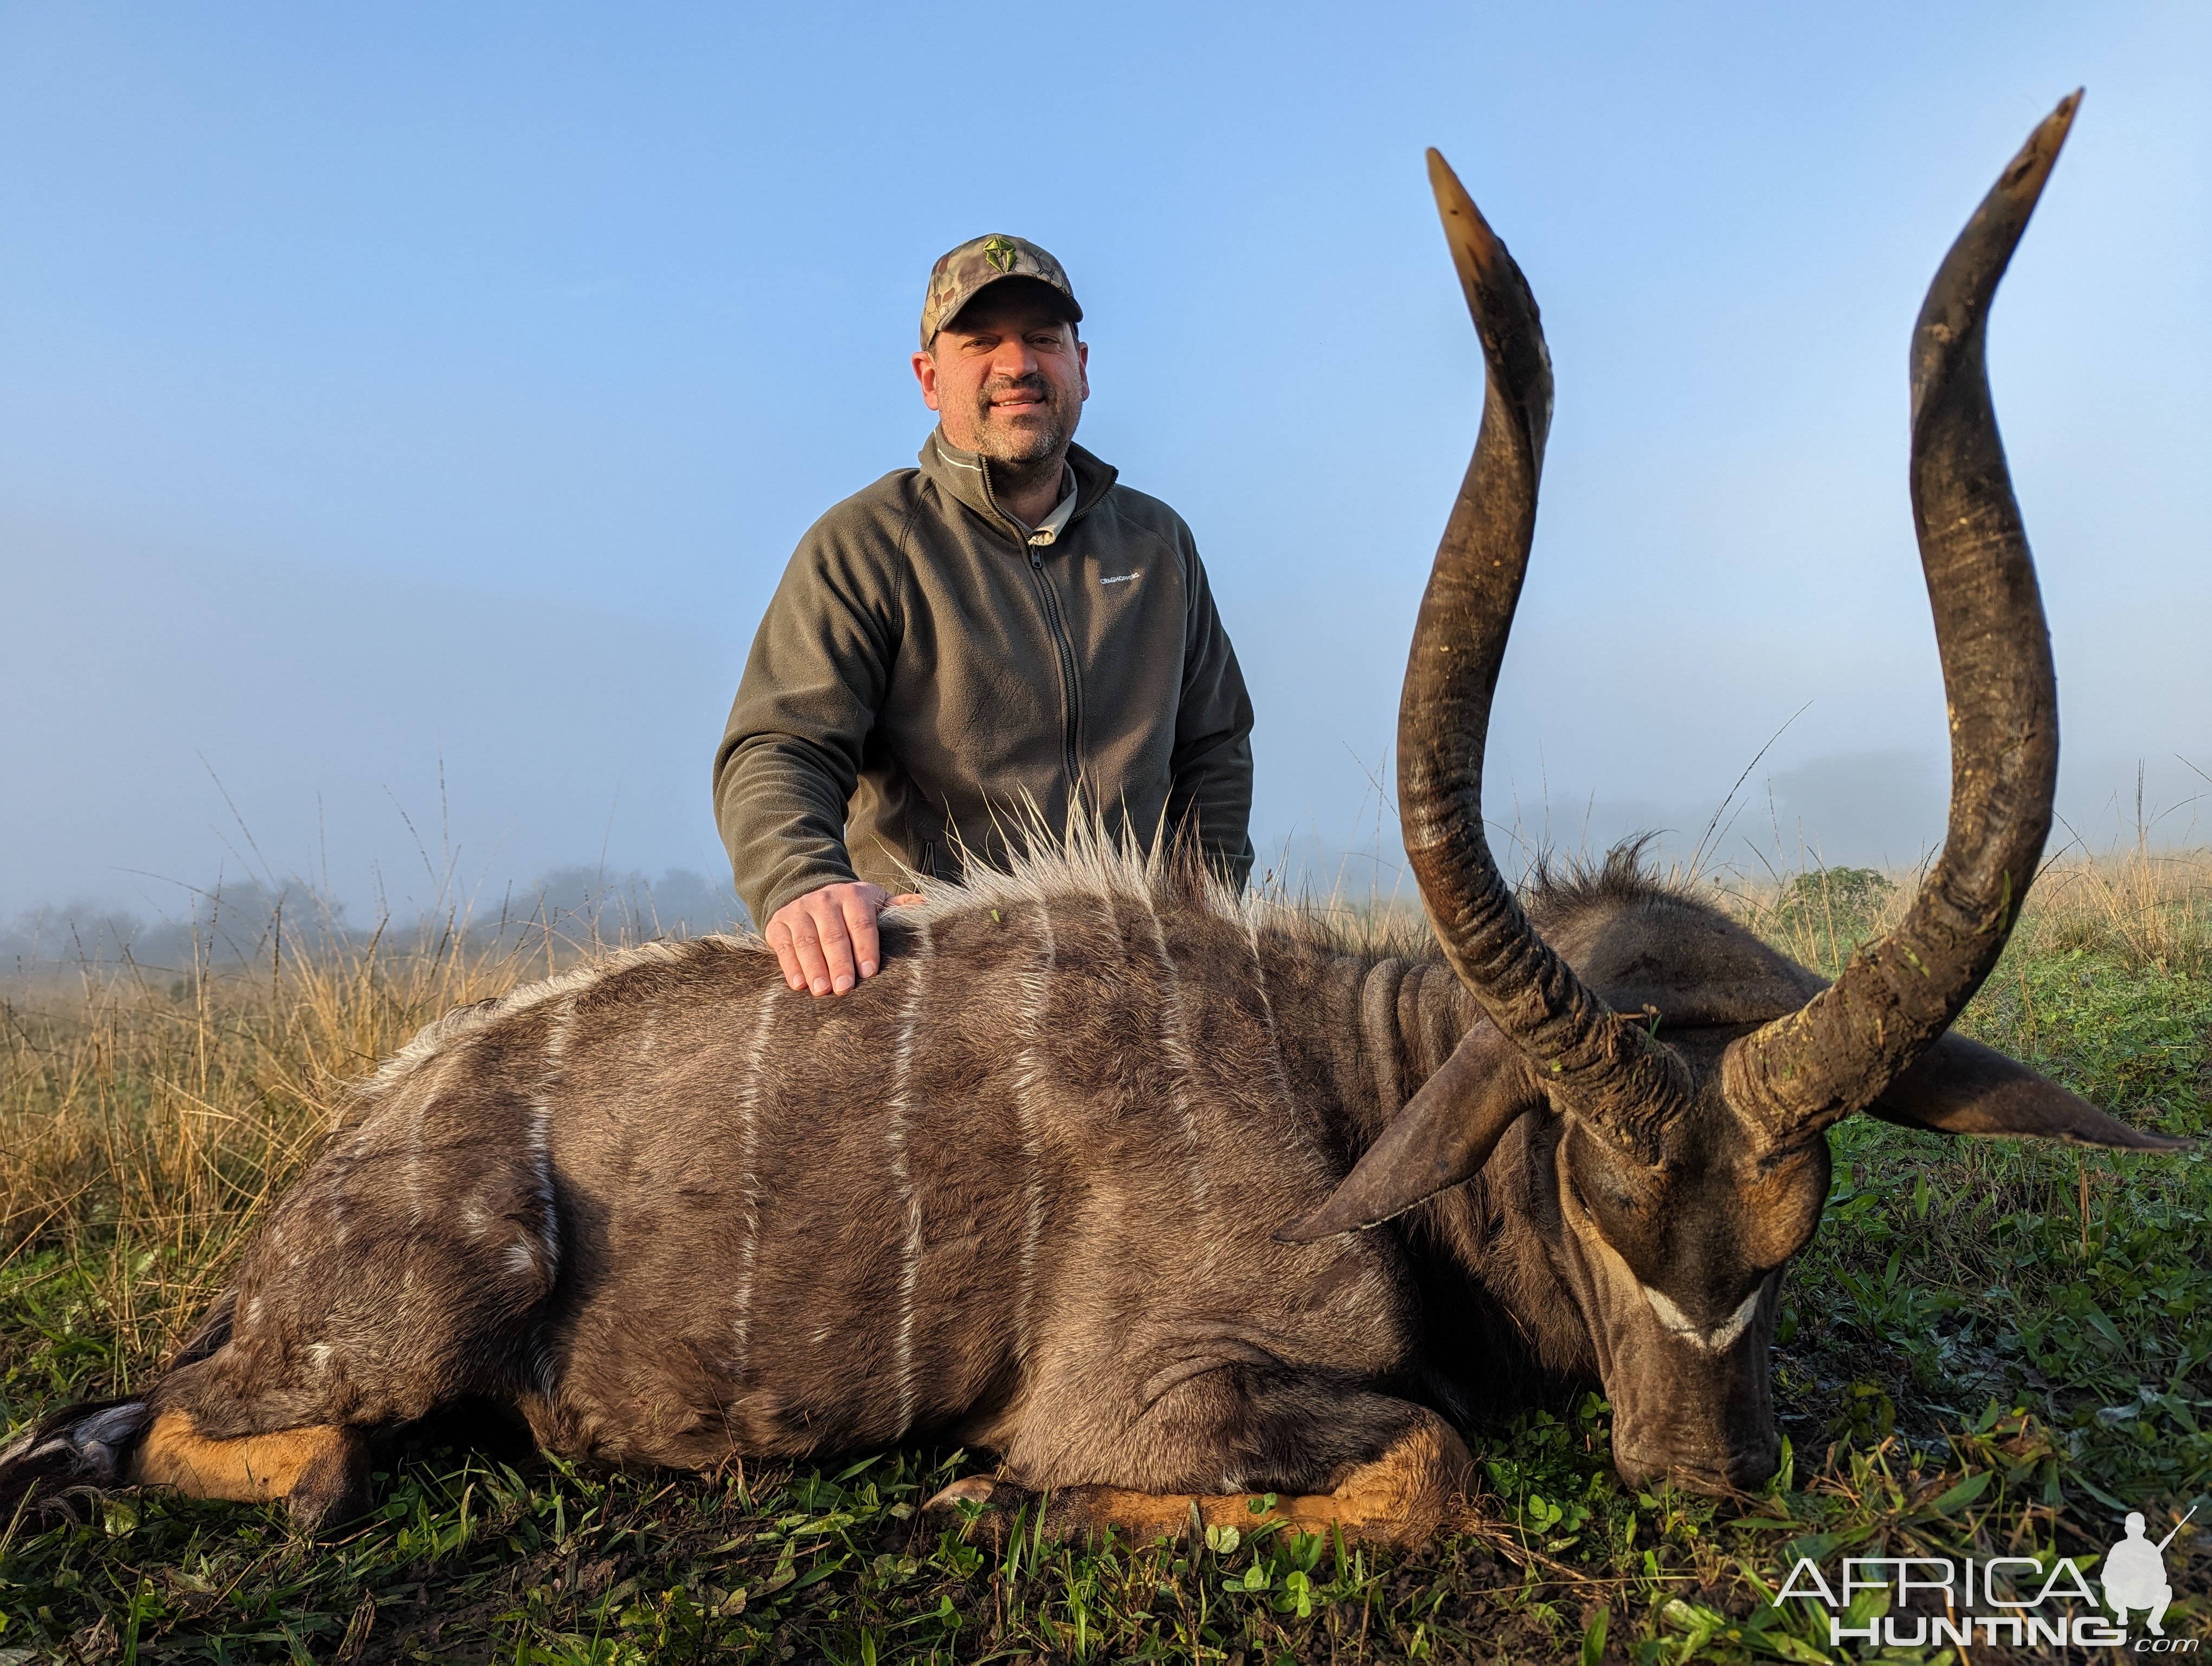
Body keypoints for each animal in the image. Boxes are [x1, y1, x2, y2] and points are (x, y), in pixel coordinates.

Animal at [0, 97, 2176, 1540]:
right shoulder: (1157, 1381)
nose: (1700, 1476)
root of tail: (316, 1185)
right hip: (403, 1322)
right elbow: (1420, 1465)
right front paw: (1007, 1492)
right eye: (1585, 1198)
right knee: (236, 1428)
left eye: (1797, 1233)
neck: (1342, 1083)